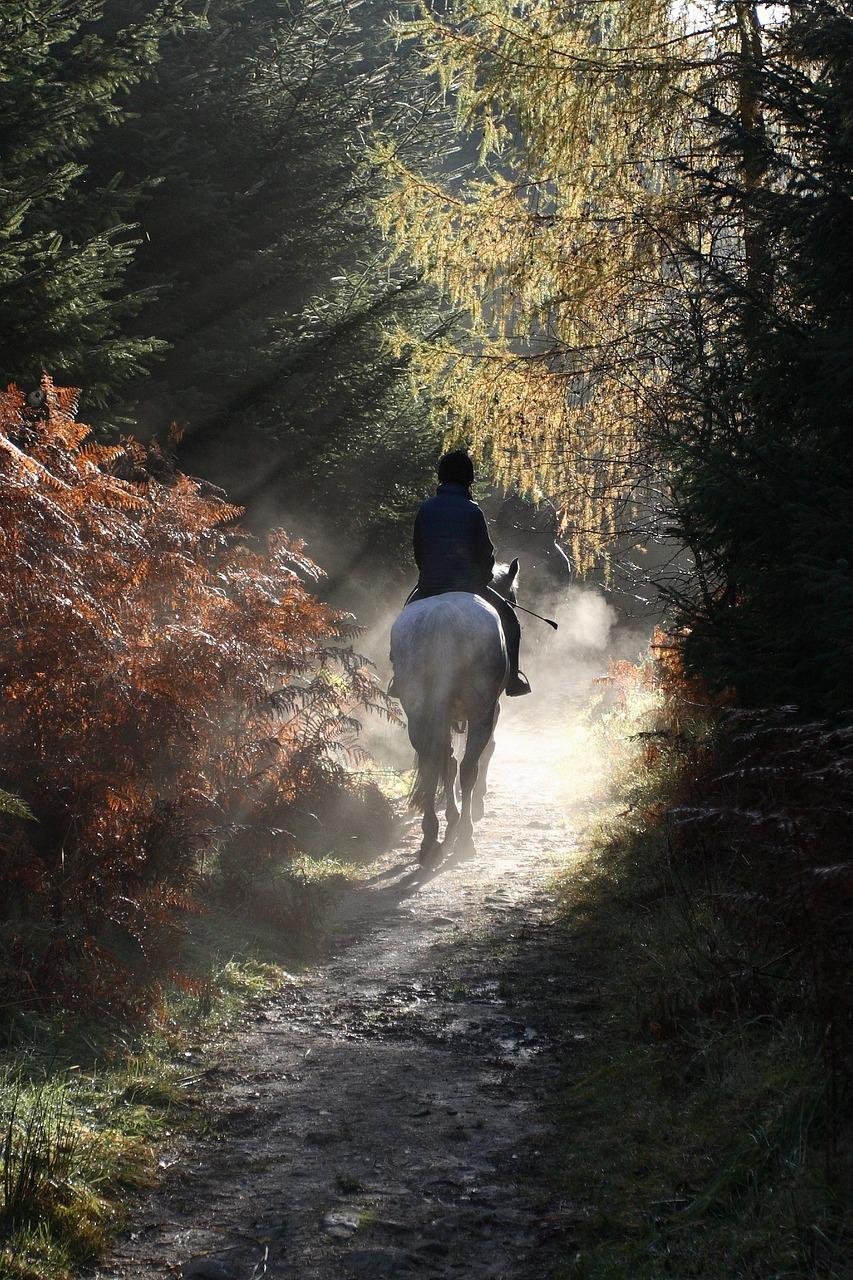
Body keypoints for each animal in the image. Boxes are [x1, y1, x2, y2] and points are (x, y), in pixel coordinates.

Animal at [389, 560, 519, 865]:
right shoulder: (491, 709)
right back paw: (465, 837)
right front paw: (473, 807)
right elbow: (485, 752)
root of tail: (443, 615)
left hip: (418, 712)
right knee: (468, 767)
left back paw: (430, 839)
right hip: (481, 709)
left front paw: (451, 817)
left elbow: (446, 763)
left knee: (433, 764)